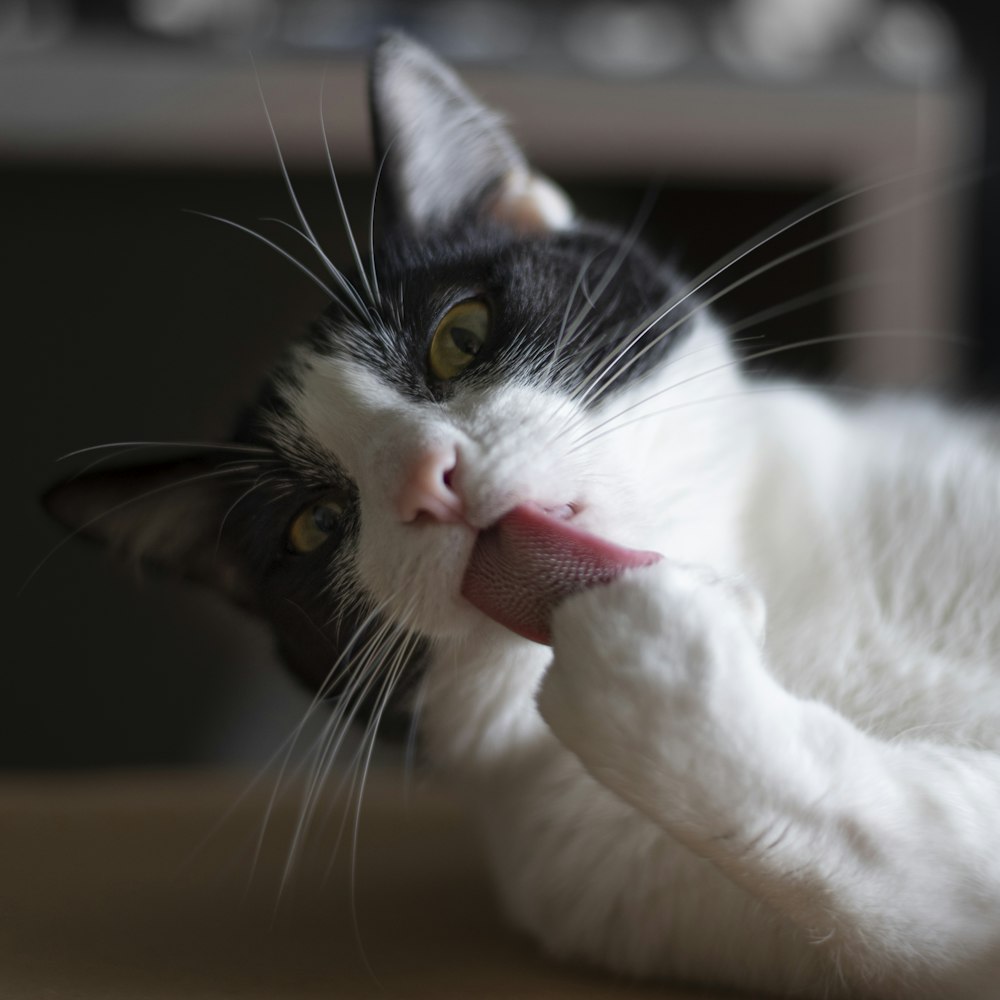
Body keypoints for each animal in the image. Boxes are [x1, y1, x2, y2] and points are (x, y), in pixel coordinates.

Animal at [45, 31, 1000, 1000]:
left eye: (458, 335)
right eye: (313, 525)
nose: (426, 478)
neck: (780, 606)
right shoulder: (603, 872)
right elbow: (916, 882)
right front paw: (642, 651)